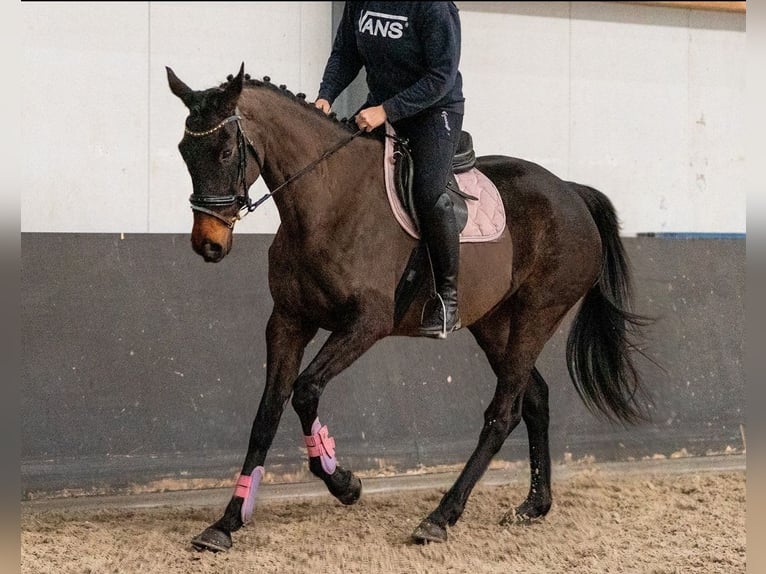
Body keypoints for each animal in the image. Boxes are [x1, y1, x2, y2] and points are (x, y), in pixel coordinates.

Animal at [166, 63, 652, 552]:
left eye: (226, 151)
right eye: (185, 152)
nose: (208, 244)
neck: (327, 202)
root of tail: (570, 191)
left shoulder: (367, 323)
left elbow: (305, 390)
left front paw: (344, 482)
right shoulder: (288, 321)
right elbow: (267, 413)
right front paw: (227, 522)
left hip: (538, 313)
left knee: (503, 413)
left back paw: (440, 516)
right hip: (494, 323)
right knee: (533, 398)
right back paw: (533, 505)